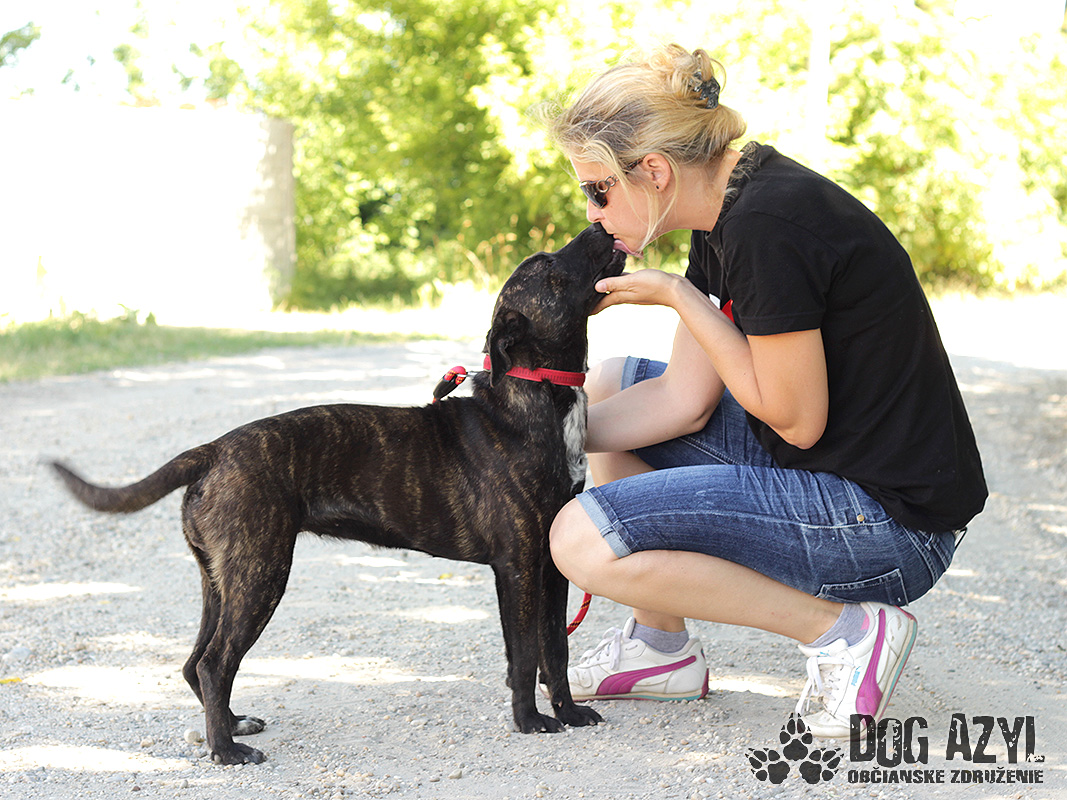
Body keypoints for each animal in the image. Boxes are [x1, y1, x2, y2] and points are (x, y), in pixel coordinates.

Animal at [51, 223, 625, 765]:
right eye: (549, 267)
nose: (600, 225)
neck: (536, 397)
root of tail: (213, 450)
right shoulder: (518, 565)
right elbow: (526, 653)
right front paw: (530, 721)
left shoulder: (550, 566)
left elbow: (555, 649)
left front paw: (568, 712)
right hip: (260, 574)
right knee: (215, 663)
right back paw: (226, 750)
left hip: (221, 581)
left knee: (197, 662)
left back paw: (231, 725)